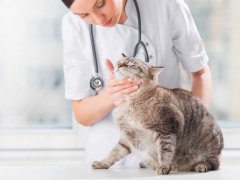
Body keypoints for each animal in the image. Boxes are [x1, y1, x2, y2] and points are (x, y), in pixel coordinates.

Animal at [91, 56, 223, 174]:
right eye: (121, 60)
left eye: (133, 65)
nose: (119, 64)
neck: (129, 102)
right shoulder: (128, 136)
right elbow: (114, 153)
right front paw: (102, 163)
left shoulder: (167, 127)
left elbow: (165, 151)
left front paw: (163, 167)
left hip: (209, 144)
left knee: (214, 163)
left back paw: (201, 165)